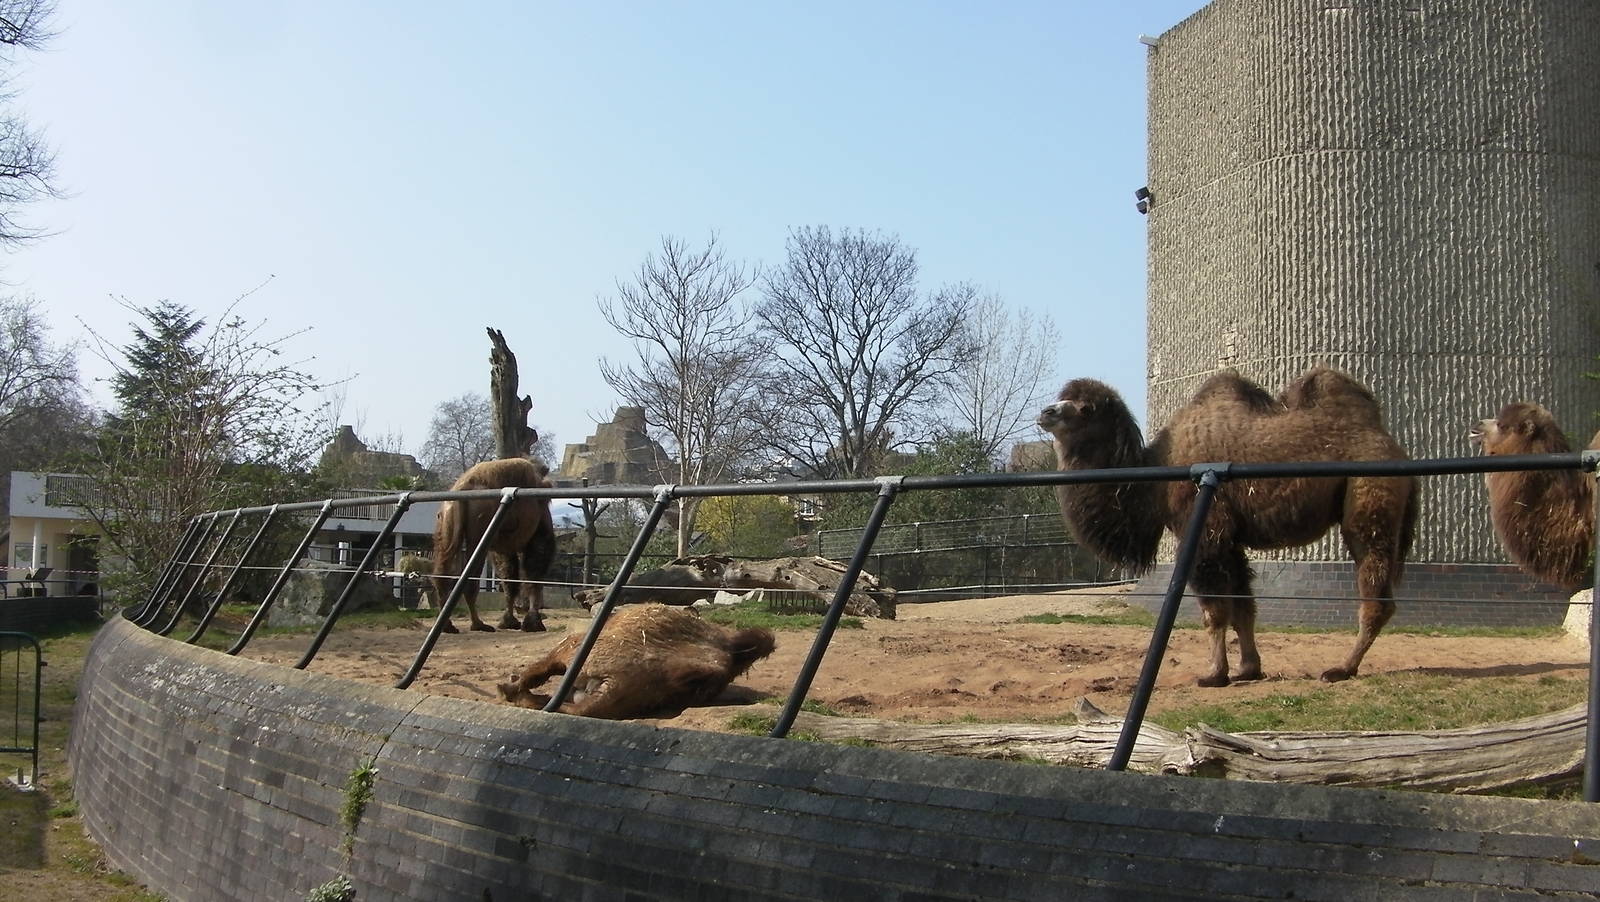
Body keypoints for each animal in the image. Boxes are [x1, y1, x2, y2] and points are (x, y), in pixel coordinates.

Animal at [432, 458, 557, 633]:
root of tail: (462, 486)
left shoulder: (503, 546)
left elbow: (508, 576)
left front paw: (509, 621)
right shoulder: (539, 532)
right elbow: (534, 571)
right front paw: (533, 623)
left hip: (446, 521)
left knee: (442, 571)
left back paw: (448, 626)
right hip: (480, 524)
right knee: (470, 575)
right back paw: (478, 624)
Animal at [1036, 366, 1419, 687]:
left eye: (1085, 408)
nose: (1046, 412)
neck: (1155, 477)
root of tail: (1395, 448)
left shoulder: (1206, 528)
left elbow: (1215, 609)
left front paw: (1213, 674)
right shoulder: (1231, 538)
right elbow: (1243, 606)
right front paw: (1249, 668)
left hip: (1369, 499)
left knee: (1375, 590)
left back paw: (1341, 669)